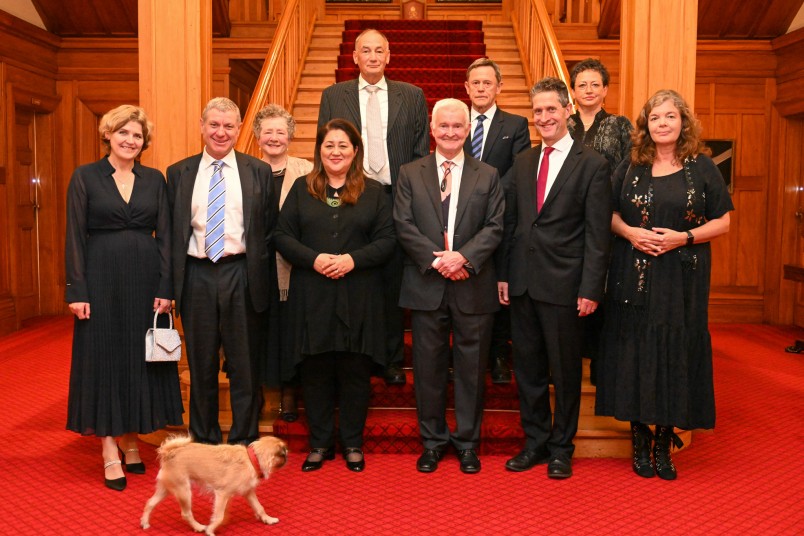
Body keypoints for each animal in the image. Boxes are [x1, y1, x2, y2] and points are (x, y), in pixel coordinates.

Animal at [141, 436, 288, 536]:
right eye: (283, 454)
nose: (287, 456)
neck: (252, 459)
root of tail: (168, 453)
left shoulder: (248, 492)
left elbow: (259, 507)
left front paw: (268, 519)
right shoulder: (222, 494)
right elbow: (219, 516)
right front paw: (210, 529)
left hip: (166, 489)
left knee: (150, 503)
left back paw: (144, 522)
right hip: (184, 491)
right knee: (186, 514)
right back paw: (199, 527)